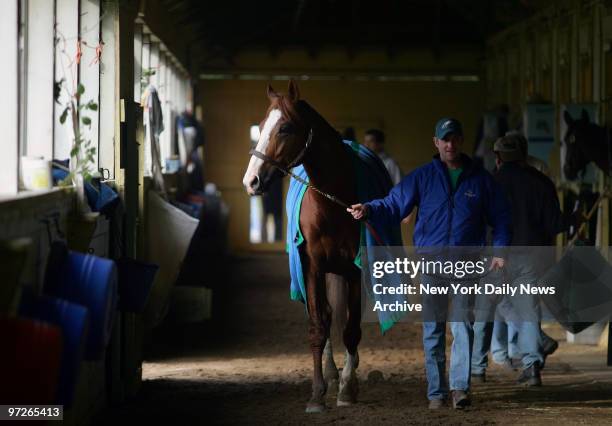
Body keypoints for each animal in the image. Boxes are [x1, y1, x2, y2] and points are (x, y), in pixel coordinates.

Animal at [244, 80, 368, 412]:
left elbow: (351, 329)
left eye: (285, 127)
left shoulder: (355, 269)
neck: (333, 204)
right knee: (326, 316)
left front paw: (347, 390)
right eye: (261, 125)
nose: (251, 180)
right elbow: (318, 327)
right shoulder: (312, 266)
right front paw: (317, 394)